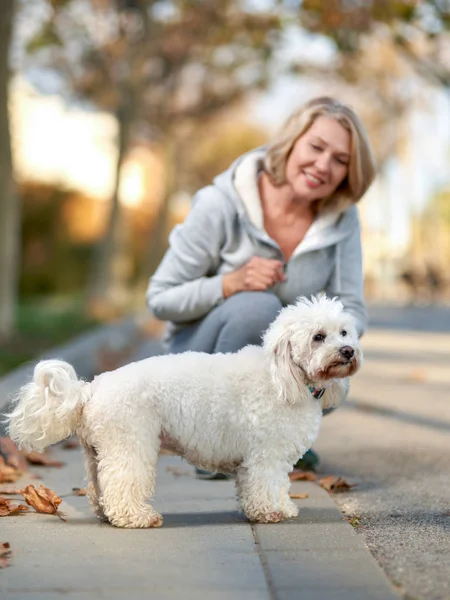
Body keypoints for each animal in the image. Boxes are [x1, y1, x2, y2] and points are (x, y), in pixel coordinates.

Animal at [5, 298, 362, 528]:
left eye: (344, 332)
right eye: (318, 337)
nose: (348, 351)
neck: (285, 377)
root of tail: (92, 388)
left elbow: (275, 486)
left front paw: (283, 508)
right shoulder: (266, 456)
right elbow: (266, 485)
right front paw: (270, 512)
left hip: (97, 453)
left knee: (99, 489)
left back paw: (108, 514)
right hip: (130, 444)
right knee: (122, 484)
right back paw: (136, 518)